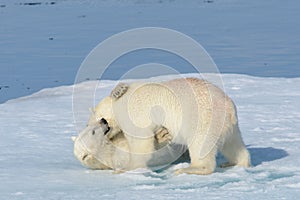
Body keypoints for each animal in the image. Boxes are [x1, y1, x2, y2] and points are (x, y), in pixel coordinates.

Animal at [89, 77, 251, 174]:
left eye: (97, 120)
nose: (101, 127)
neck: (118, 104)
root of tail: (229, 108)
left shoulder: (135, 113)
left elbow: (141, 144)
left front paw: (125, 168)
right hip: (227, 126)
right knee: (233, 144)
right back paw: (236, 162)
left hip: (203, 119)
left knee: (200, 144)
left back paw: (189, 169)